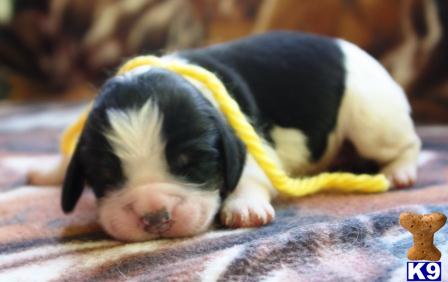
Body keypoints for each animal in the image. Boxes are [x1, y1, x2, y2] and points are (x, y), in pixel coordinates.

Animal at [28, 32, 420, 241]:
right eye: (107, 175)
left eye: (193, 164)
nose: (154, 217)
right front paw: (47, 171)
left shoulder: (251, 140)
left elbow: (248, 173)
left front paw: (244, 207)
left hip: (371, 118)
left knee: (406, 142)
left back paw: (400, 171)